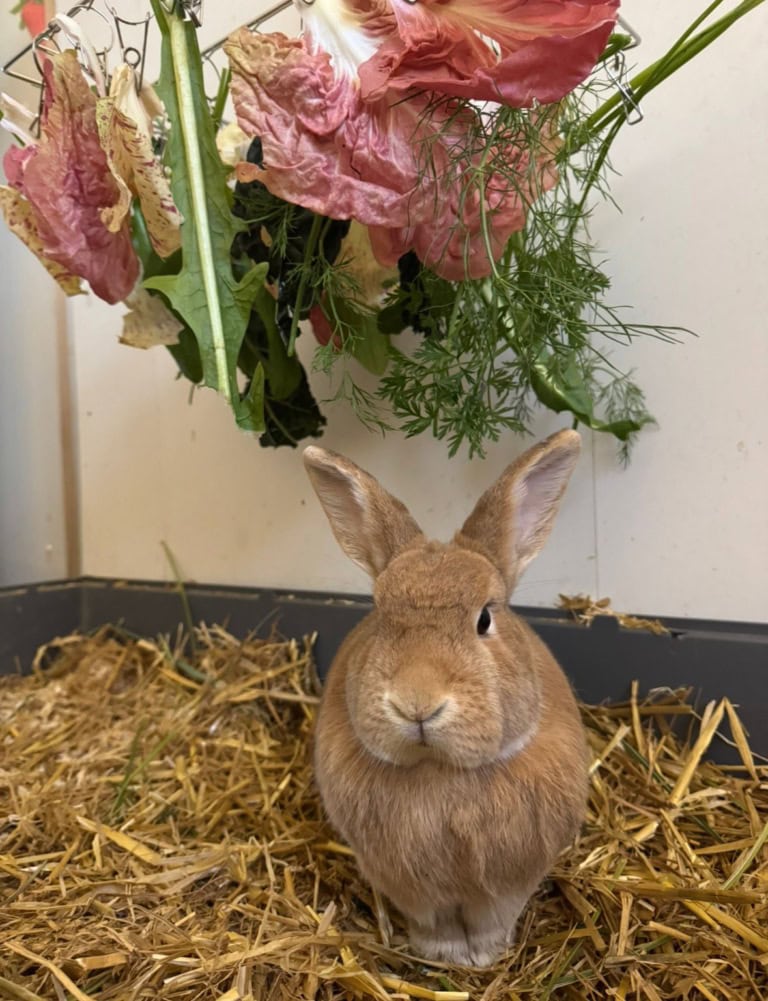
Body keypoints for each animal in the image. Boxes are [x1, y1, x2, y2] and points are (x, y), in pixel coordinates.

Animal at [303, 430, 589, 968]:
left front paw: (486, 956)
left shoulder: (507, 885)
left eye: (485, 619)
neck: (441, 774)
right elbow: (433, 923)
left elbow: (493, 918)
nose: (417, 703)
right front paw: (447, 956)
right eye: (380, 616)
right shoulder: (411, 888)